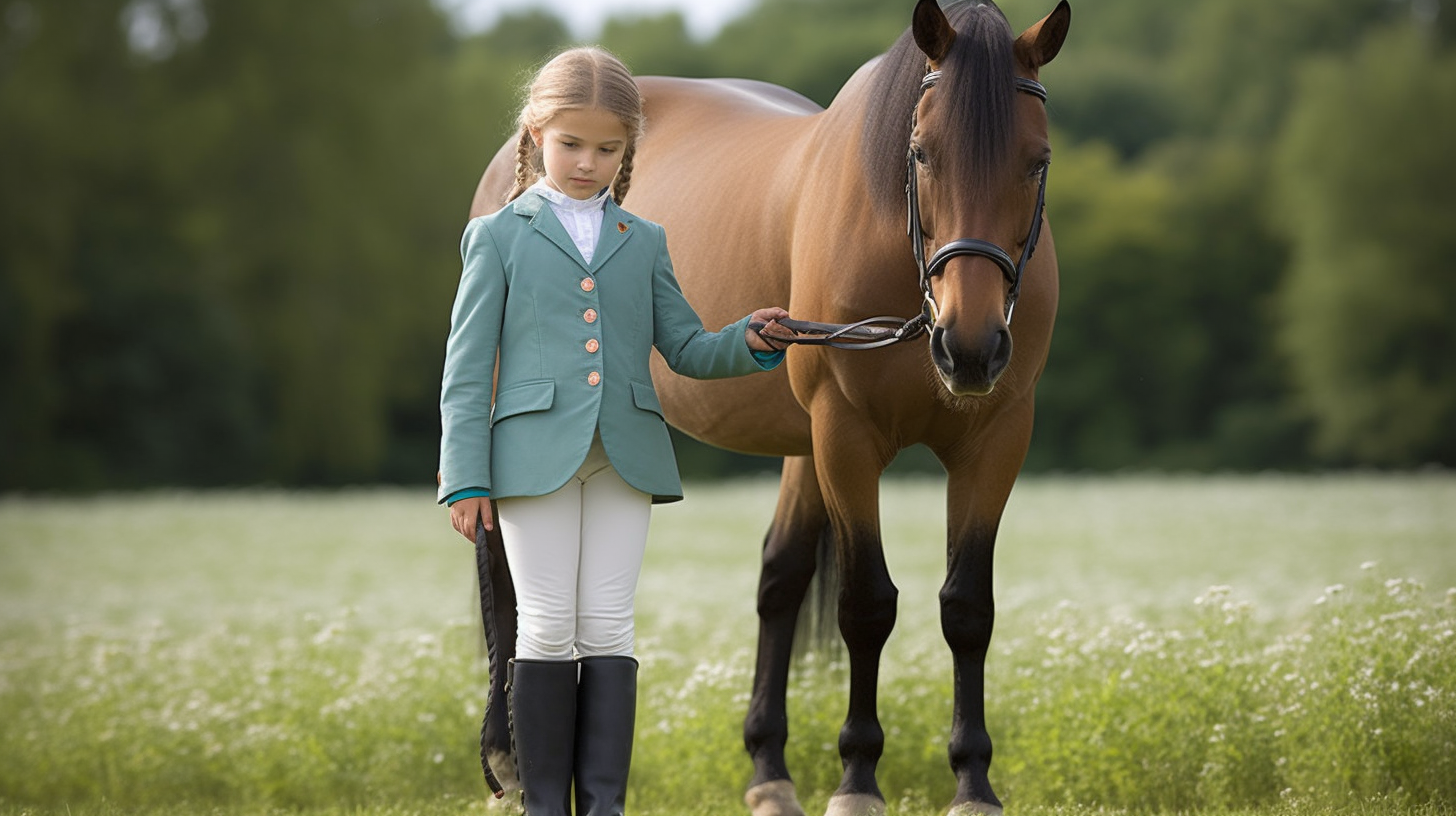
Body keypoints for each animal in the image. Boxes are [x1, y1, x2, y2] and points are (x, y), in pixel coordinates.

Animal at [465, 1, 1071, 816]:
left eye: (1037, 161)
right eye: (921, 153)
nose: (969, 349)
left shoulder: (994, 439)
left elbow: (966, 607)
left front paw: (973, 781)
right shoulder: (846, 437)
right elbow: (866, 606)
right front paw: (857, 781)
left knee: (778, 576)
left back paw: (768, 771)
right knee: (506, 575)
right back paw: (513, 762)